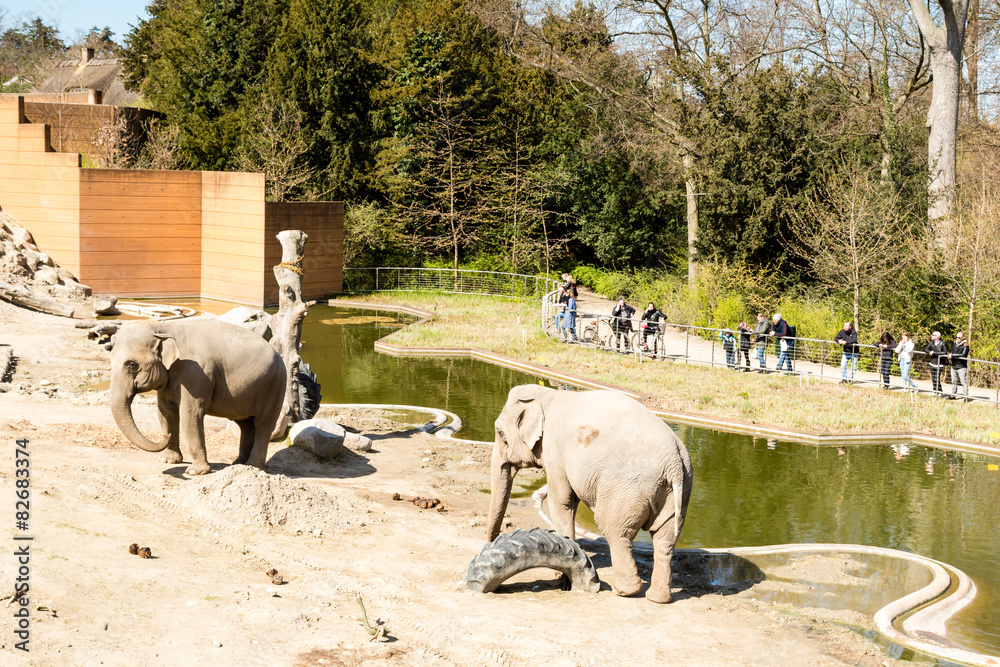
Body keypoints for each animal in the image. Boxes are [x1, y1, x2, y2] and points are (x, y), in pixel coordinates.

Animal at [109, 319, 287, 475]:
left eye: (132, 365)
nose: (166, 436)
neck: (163, 327)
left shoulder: (197, 374)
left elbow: (190, 414)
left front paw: (195, 472)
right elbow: (165, 412)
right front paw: (167, 460)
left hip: (275, 386)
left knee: (263, 424)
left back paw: (253, 467)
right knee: (246, 424)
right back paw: (238, 464)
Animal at [487, 385, 693, 603]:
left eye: (500, 433)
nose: (490, 543)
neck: (549, 395)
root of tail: (674, 462)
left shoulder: (555, 453)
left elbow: (562, 502)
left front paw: (561, 576)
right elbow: (569, 502)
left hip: (626, 489)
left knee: (615, 532)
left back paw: (622, 591)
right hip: (679, 492)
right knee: (665, 539)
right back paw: (657, 598)